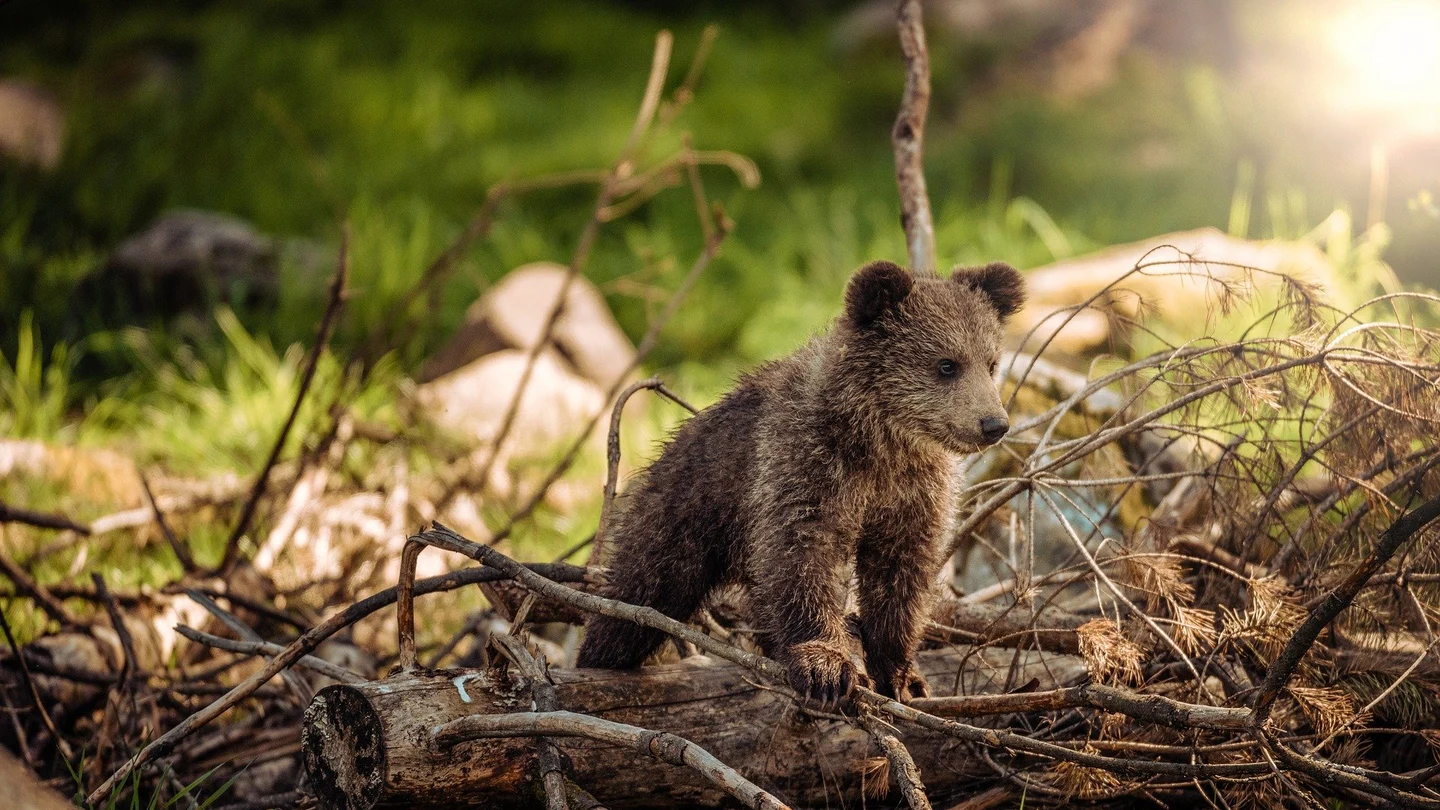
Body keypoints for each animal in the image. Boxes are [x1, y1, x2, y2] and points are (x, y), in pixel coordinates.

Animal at [576, 259, 1025, 704]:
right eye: (946, 364)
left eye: (991, 362)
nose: (993, 424)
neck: (881, 443)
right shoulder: (806, 465)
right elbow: (802, 555)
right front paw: (825, 666)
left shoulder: (913, 492)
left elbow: (901, 573)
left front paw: (903, 675)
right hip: (683, 514)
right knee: (638, 597)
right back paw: (598, 658)